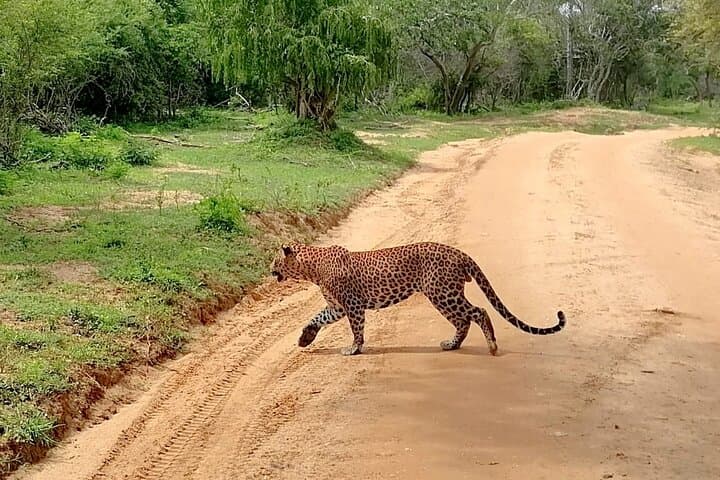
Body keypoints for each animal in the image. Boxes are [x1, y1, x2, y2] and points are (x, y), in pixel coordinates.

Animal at [270, 241, 566, 356]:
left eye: (275, 260)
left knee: (477, 312)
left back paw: (491, 346)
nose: (269, 269)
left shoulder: (352, 305)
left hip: (442, 292)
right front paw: (305, 338)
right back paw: (452, 345)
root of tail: (459, 253)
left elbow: (357, 329)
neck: (311, 268)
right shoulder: (336, 307)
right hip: (444, 294)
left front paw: (354, 349)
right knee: (464, 320)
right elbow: (316, 318)